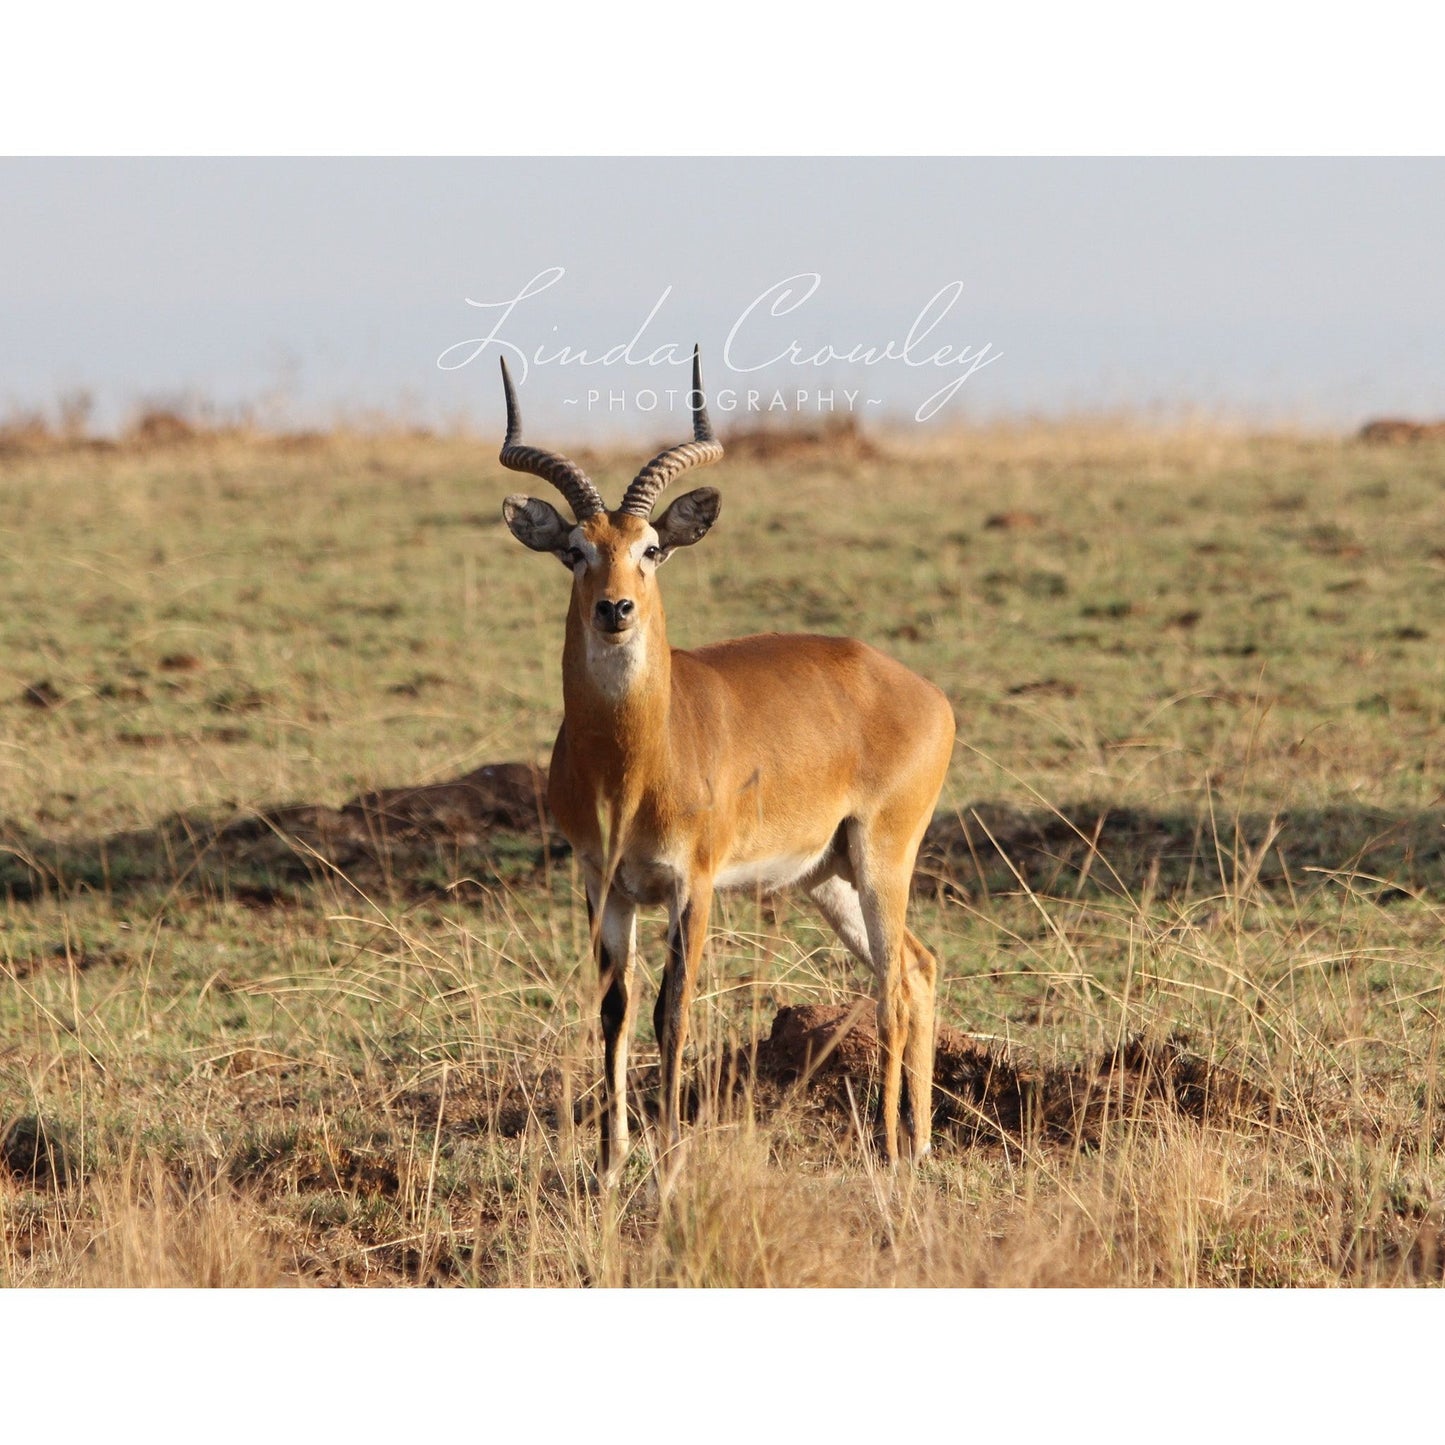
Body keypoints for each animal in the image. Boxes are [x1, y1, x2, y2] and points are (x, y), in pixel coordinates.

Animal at [499, 346, 959, 1173]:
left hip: (882, 857)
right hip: (827, 875)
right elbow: (615, 1008)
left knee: (890, 985)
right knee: (915, 965)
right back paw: (919, 1141)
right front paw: (612, 1161)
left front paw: (671, 1155)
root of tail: (920, 689)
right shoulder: (601, 881)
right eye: (575, 551)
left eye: (650, 549)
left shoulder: (695, 883)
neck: (631, 765)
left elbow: (671, 1009)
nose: (614, 609)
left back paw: (887, 1144)